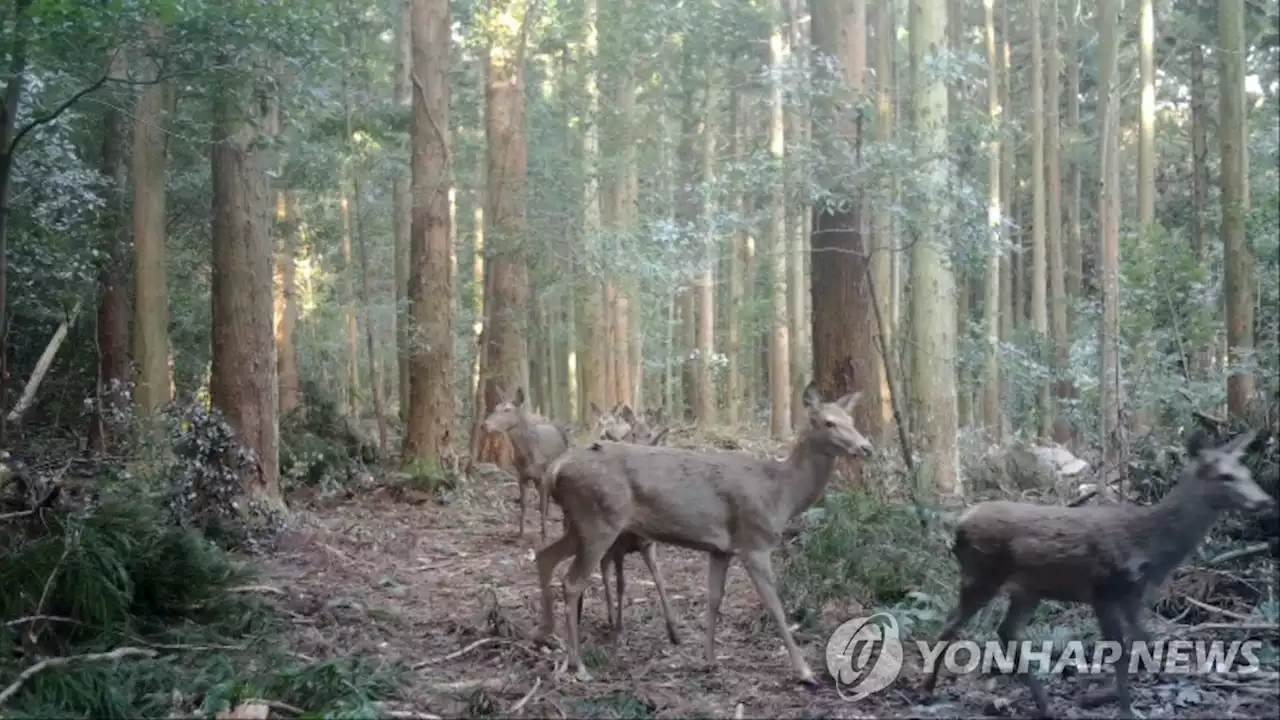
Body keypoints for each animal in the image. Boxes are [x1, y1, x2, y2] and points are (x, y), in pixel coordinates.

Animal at [481, 386, 570, 538]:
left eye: (507, 410)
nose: (485, 425)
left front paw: (544, 536)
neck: (527, 457)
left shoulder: (542, 476)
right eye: (496, 408)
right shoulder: (521, 475)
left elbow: (541, 505)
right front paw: (520, 534)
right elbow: (523, 504)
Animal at [535, 379, 875, 681]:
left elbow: (714, 599)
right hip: (598, 519)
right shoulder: (754, 541)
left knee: (543, 556)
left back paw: (547, 635)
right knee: (572, 581)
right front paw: (804, 671)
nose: (866, 447)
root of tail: (555, 468)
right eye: (829, 422)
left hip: (580, 523)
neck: (779, 494)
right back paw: (578, 664)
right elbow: (775, 606)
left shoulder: (720, 549)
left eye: (851, 419)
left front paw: (709, 660)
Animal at [921, 427, 1269, 712]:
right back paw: (927, 691)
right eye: (1224, 476)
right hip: (981, 574)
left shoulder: (1136, 595)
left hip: (1028, 588)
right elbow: (1120, 652)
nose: (1264, 501)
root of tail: (959, 525)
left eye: (1246, 471)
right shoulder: (1102, 590)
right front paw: (1124, 708)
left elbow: (1145, 643)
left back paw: (1045, 706)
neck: (1149, 544)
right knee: (951, 623)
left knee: (1006, 631)